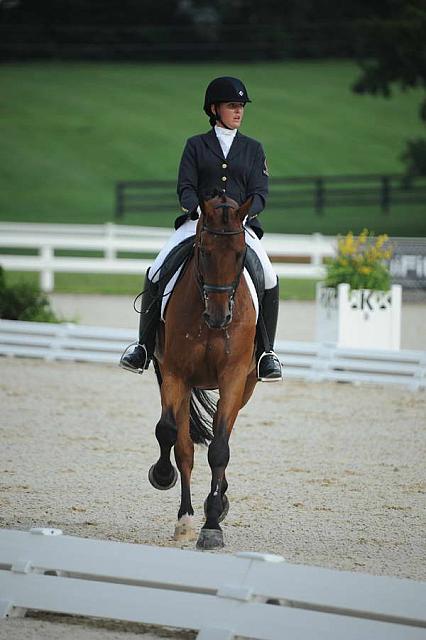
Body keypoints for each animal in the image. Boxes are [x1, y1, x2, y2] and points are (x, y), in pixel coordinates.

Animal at [149, 191, 256, 552]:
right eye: (205, 252)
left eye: (240, 254)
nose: (219, 318)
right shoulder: (175, 373)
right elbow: (169, 434)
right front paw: (163, 476)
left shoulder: (233, 379)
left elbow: (220, 449)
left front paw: (212, 525)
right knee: (183, 447)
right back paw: (186, 517)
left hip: (244, 388)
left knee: (223, 437)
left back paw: (217, 501)